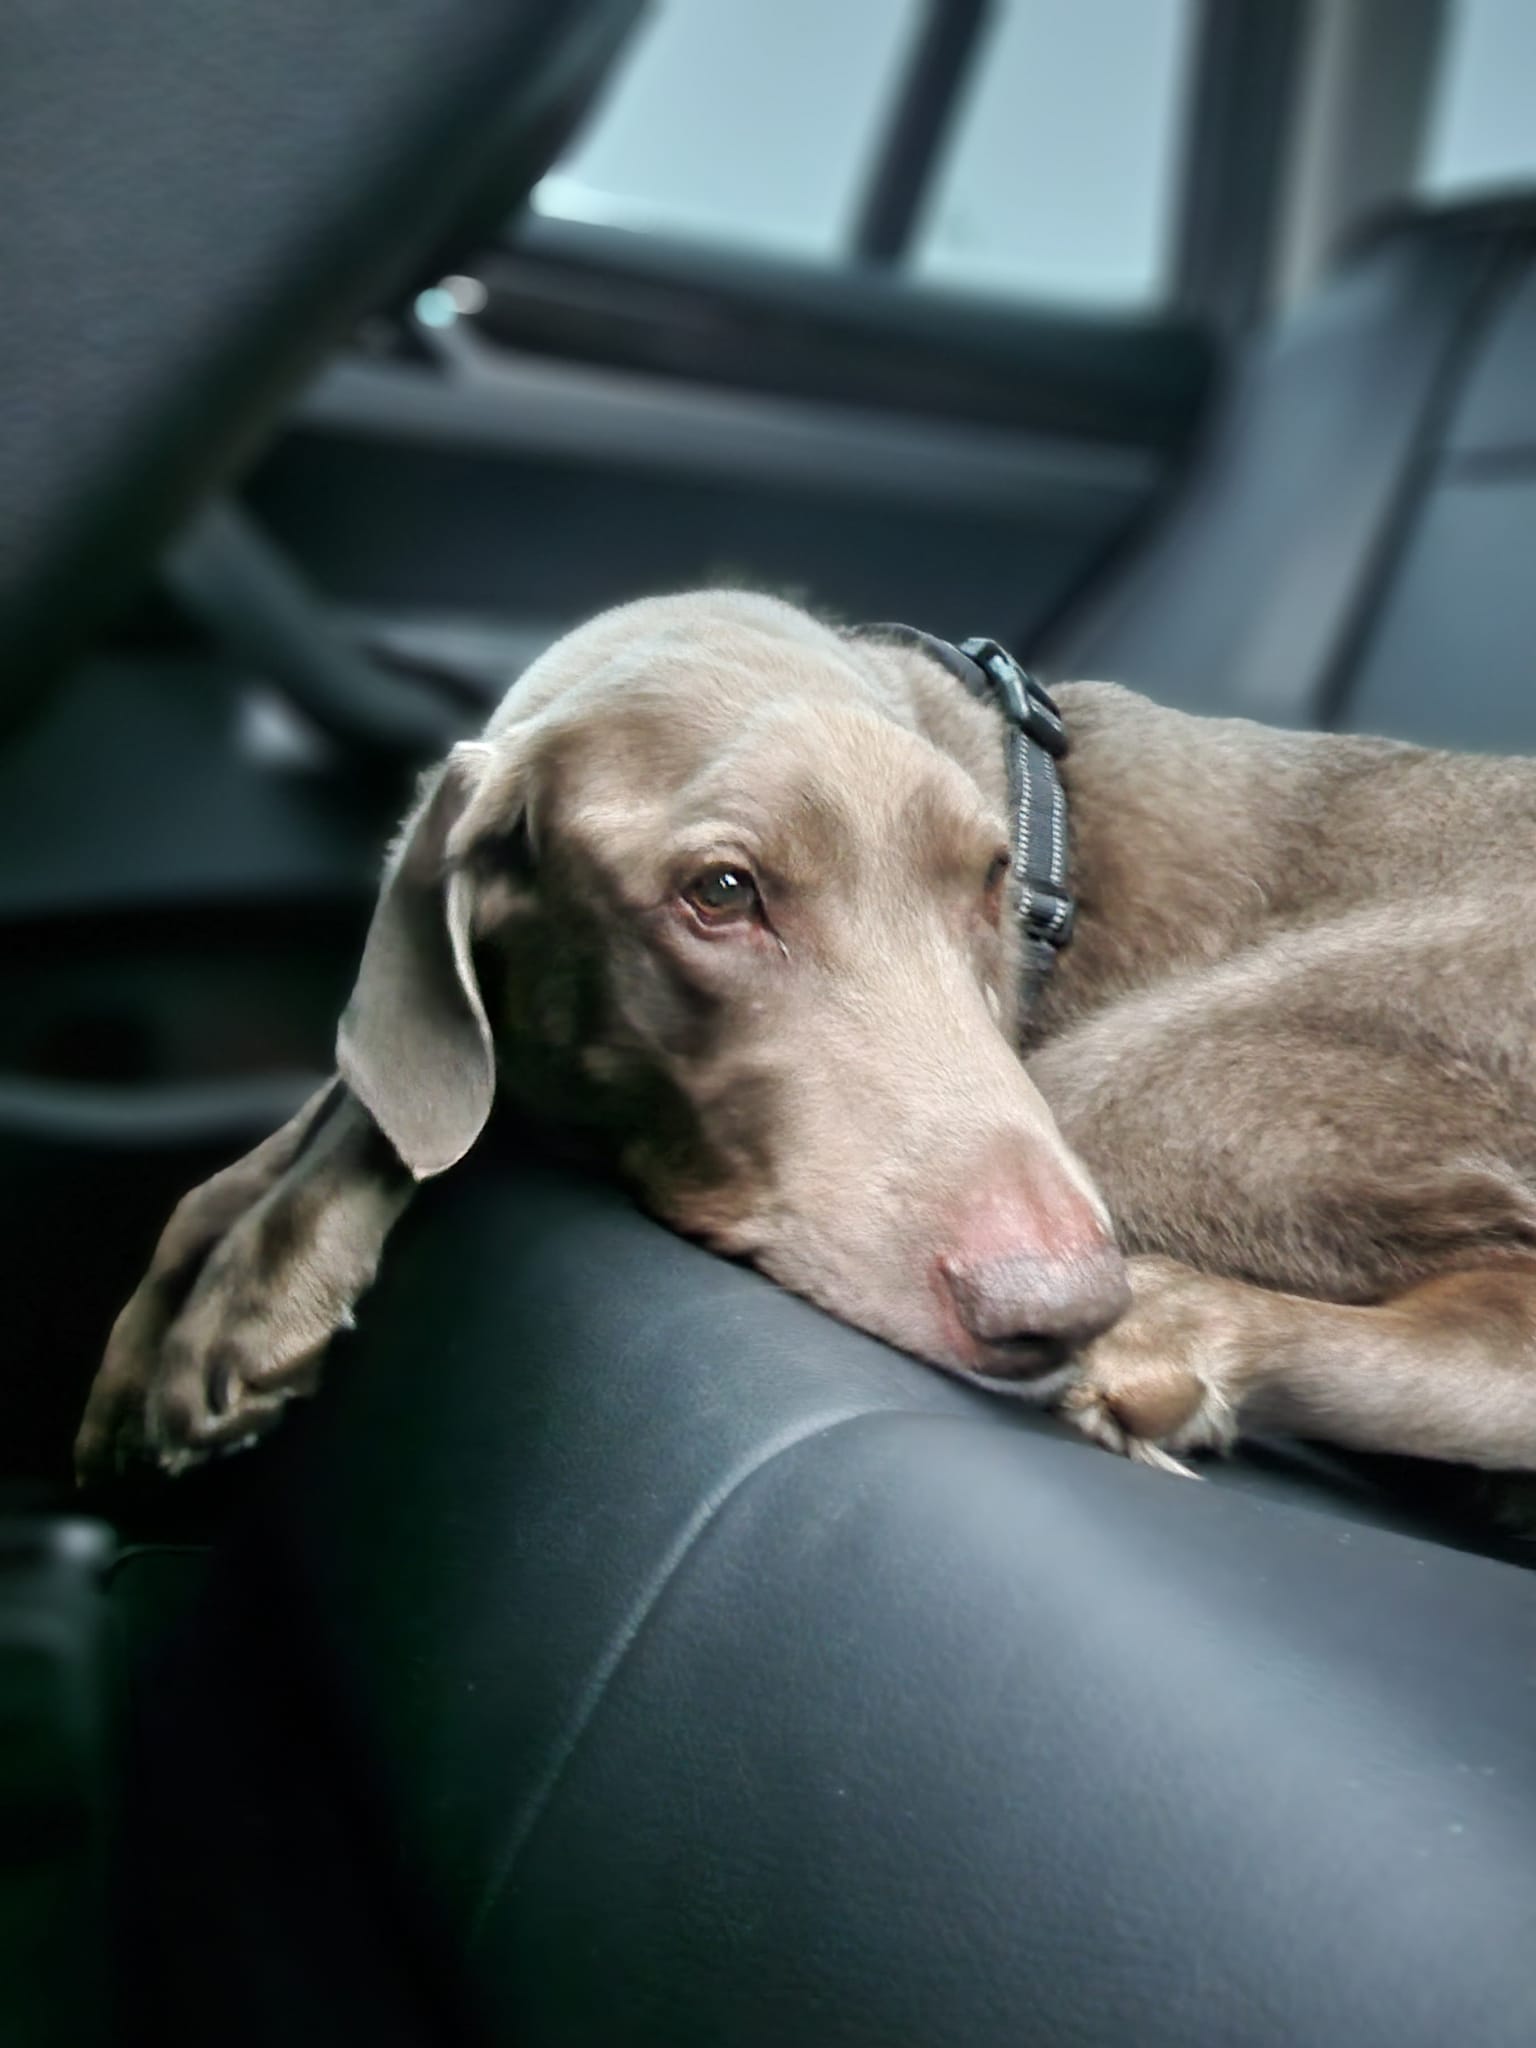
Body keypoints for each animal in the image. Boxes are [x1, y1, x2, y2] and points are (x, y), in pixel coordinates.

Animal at [75, 593, 1536, 1490]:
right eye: (721, 892)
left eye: (990, 879)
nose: (1052, 1309)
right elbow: (332, 1109)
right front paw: (169, 1321)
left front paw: (252, 1295)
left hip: (1141, 1079)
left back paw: (1176, 1337)